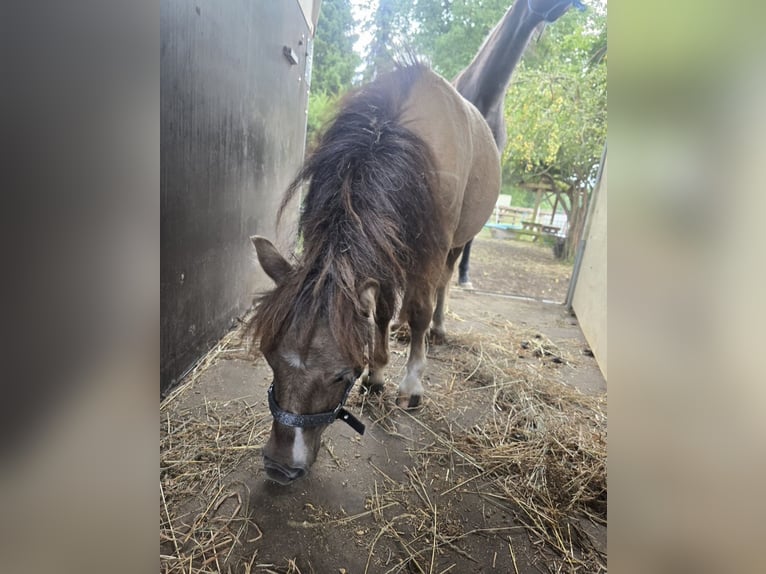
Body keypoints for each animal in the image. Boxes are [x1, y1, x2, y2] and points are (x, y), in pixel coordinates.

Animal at [249, 63, 500, 485]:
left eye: (339, 375)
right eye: (269, 357)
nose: (280, 467)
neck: (394, 137)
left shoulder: (430, 251)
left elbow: (419, 311)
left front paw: (411, 384)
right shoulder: (383, 248)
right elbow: (379, 312)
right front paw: (378, 372)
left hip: (455, 245)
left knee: (442, 286)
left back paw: (439, 329)